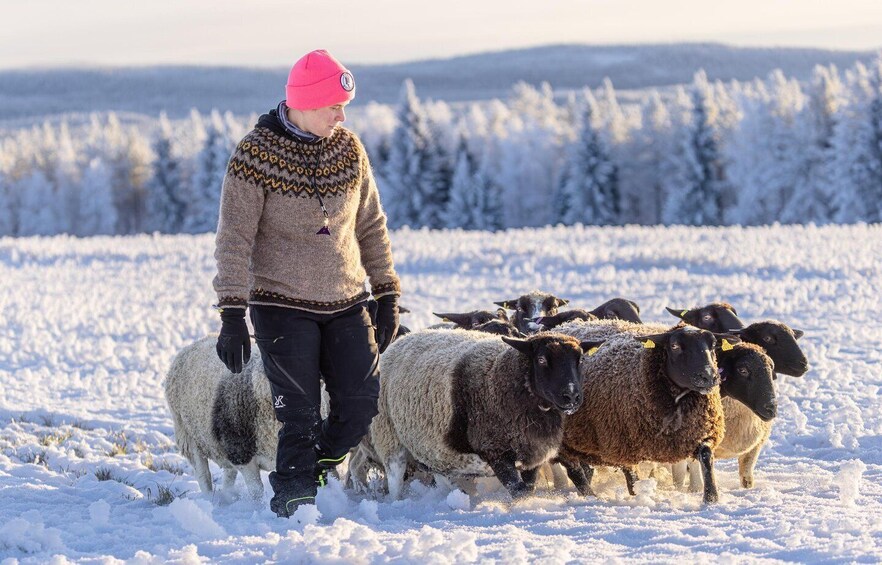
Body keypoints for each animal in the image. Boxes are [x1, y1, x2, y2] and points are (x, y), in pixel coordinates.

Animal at [163, 336, 329, 500]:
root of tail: (194, 344)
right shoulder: (242, 454)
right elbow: (257, 491)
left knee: (229, 474)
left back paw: (228, 496)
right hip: (189, 436)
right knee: (203, 474)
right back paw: (209, 499)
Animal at [365, 328, 590, 500]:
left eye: (580, 360)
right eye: (541, 359)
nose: (571, 396)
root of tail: (401, 340)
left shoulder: (532, 452)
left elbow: (527, 488)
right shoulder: (495, 451)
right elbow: (518, 490)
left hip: (432, 447)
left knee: (439, 473)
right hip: (389, 436)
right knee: (395, 478)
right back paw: (397, 503)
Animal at [555, 325, 732, 504]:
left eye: (713, 345)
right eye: (674, 346)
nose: (709, 376)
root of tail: (563, 326)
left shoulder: (697, 434)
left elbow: (706, 455)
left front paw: (711, 497)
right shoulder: (620, 443)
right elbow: (632, 477)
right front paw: (639, 495)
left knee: (586, 469)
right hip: (565, 443)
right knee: (575, 471)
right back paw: (590, 496)